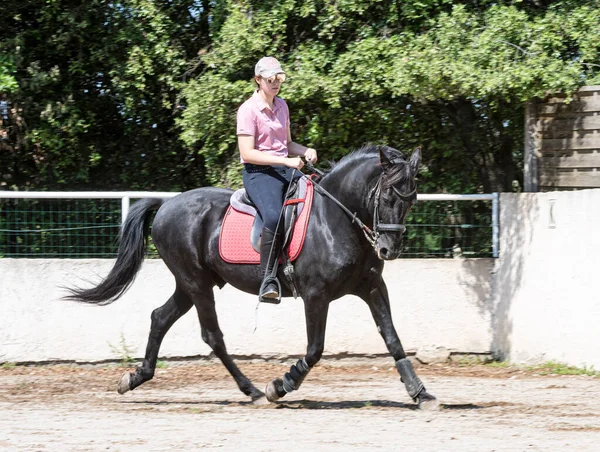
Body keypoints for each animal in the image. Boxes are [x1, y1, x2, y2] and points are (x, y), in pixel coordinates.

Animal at [68, 144, 438, 410]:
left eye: (412, 200)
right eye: (387, 195)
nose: (389, 249)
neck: (335, 218)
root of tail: (166, 204)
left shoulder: (373, 287)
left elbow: (392, 338)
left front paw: (420, 393)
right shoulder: (316, 295)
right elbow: (315, 349)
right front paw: (280, 386)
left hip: (190, 284)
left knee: (160, 317)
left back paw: (135, 378)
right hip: (196, 283)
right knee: (212, 336)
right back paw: (253, 391)